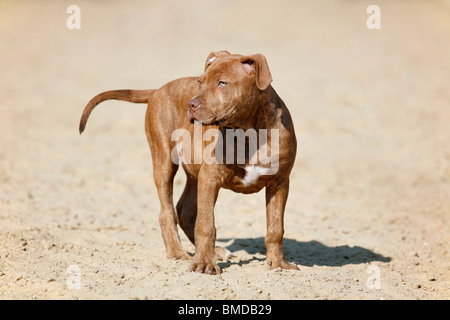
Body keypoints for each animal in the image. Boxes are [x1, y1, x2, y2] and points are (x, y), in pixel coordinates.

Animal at [80, 50, 298, 276]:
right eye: (200, 82)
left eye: (222, 83)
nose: (191, 105)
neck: (247, 132)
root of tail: (158, 90)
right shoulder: (210, 179)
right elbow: (206, 225)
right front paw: (204, 263)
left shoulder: (279, 182)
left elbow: (275, 228)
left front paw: (278, 264)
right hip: (164, 160)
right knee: (167, 212)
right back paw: (178, 252)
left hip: (195, 174)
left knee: (185, 210)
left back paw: (216, 251)